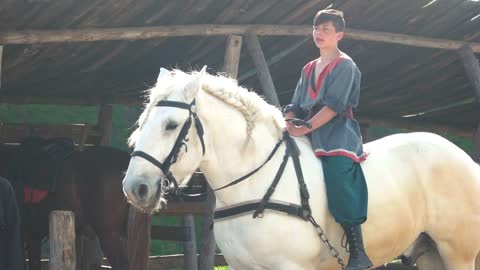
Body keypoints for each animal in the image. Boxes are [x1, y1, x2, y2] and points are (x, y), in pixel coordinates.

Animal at [123, 66, 480, 268]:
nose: (135, 188)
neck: (254, 184)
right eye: (142, 123)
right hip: (430, 252)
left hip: (458, 253)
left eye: (171, 125)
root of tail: (466, 160)